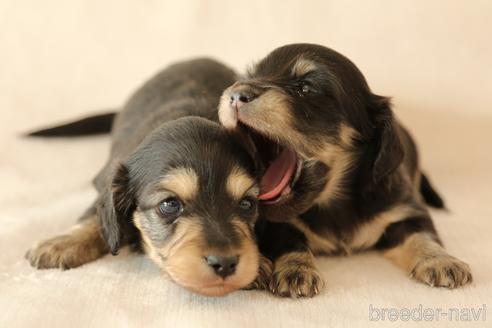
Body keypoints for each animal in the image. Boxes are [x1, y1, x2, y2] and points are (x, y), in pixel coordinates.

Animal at [26, 59, 272, 298]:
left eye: (247, 204)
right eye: (170, 204)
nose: (225, 263)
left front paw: (261, 263)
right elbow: (96, 214)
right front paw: (61, 243)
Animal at [219, 43, 472, 298]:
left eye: (306, 88)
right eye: (248, 77)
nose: (236, 95)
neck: (333, 202)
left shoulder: (406, 210)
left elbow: (422, 236)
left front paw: (441, 261)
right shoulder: (277, 226)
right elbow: (289, 241)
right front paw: (297, 270)